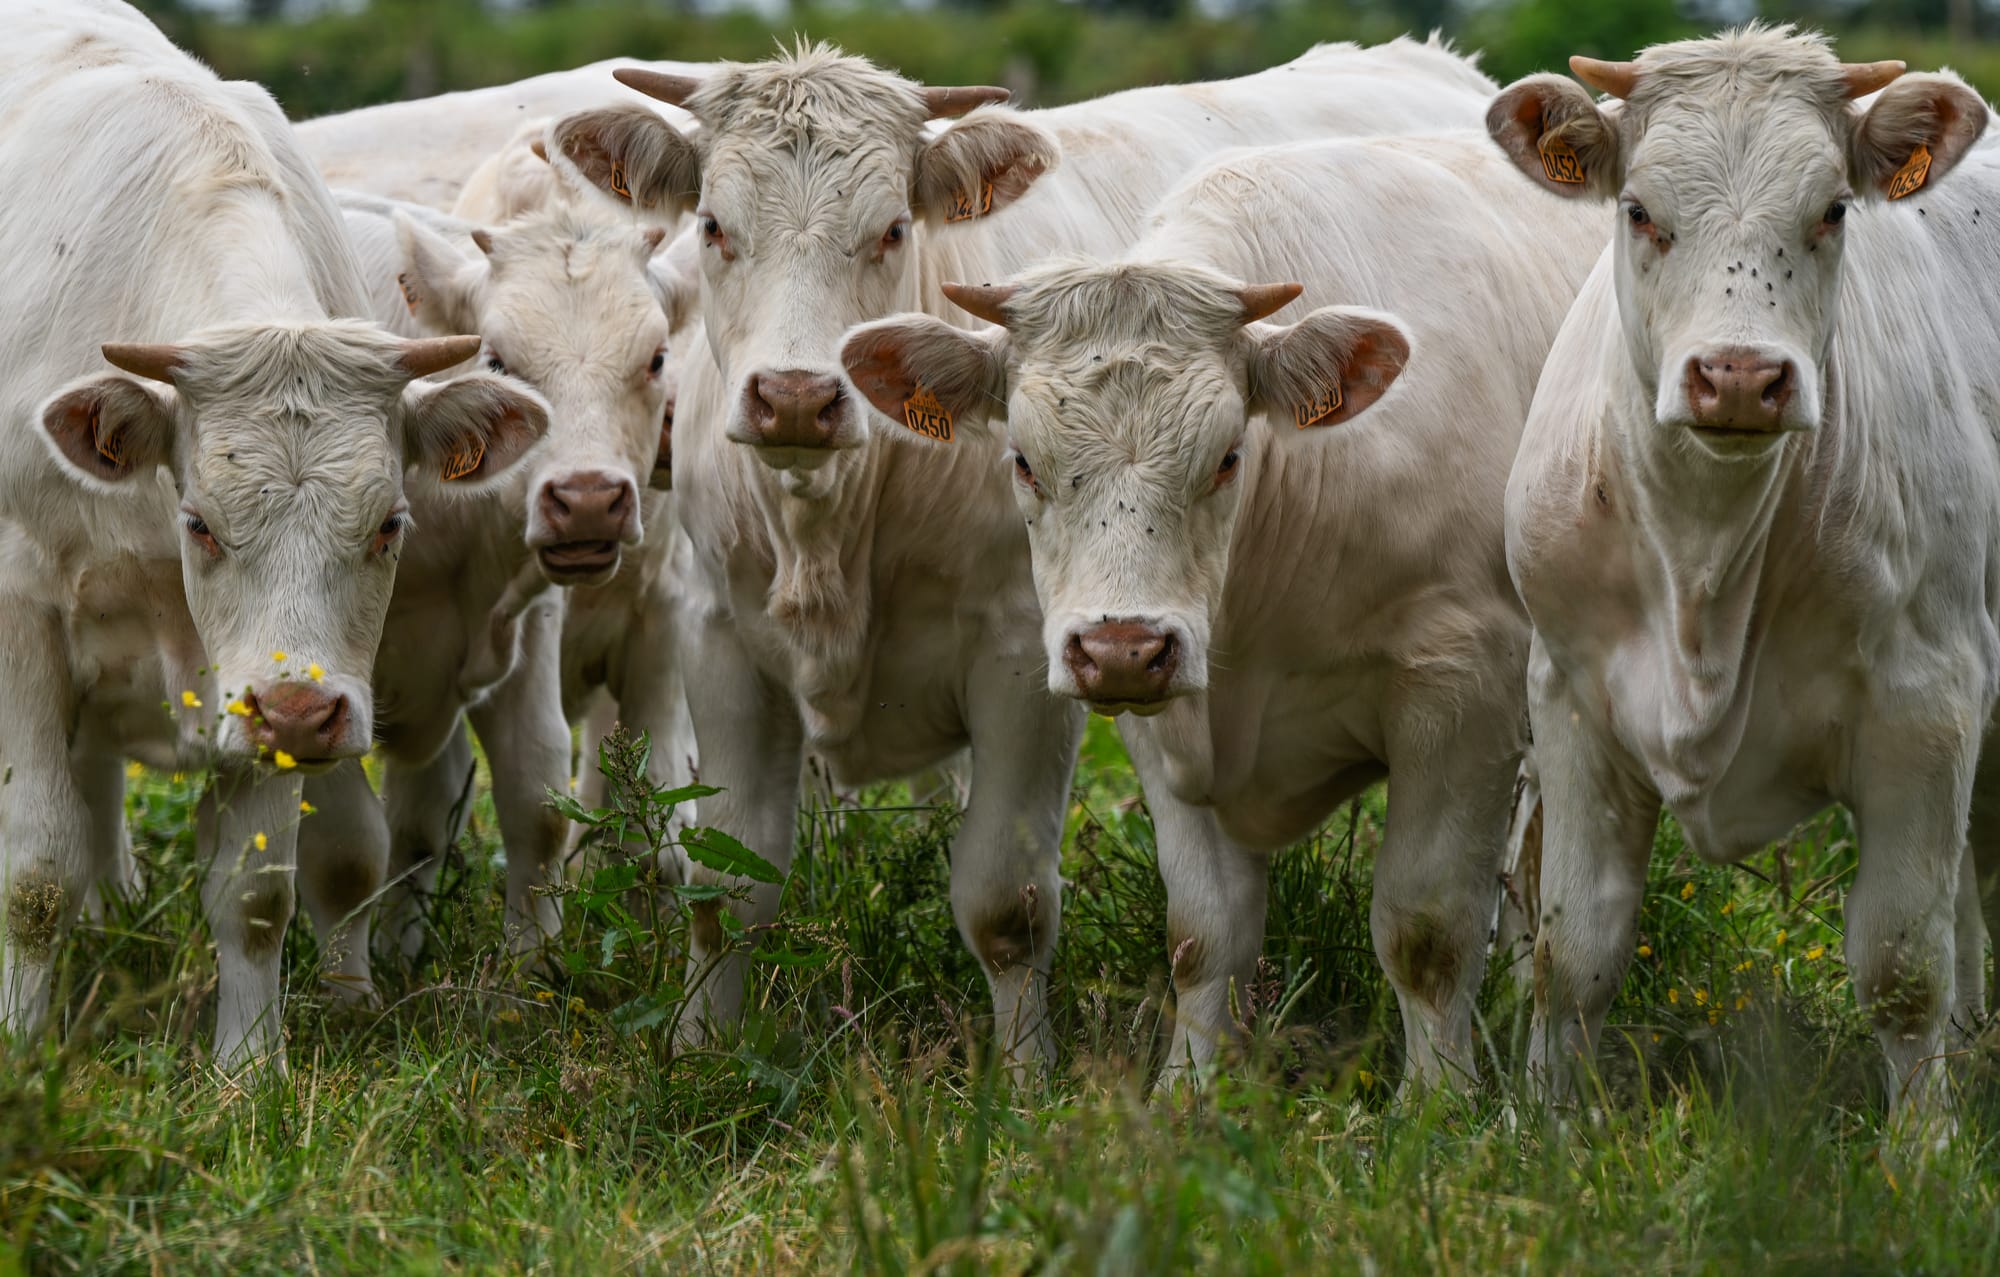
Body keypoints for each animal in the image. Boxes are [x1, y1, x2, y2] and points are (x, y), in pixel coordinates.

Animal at [0, 0, 549, 1075]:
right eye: (201, 523)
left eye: (390, 523)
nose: (302, 712)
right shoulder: (23, 615)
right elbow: (32, 873)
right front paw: (17, 1042)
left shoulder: (247, 682)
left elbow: (254, 898)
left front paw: (248, 1072)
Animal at [542, 39, 1498, 1069]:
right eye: (714, 226)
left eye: (891, 229)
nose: (796, 397)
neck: (834, 522)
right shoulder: (719, 638)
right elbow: (727, 883)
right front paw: (700, 1049)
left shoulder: (1018, 660)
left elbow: (1004, 901)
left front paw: (1023, 1074)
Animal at [837, 134, 1605, 1085]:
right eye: (1021, 460)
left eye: (1230, 455)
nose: (1121, 647)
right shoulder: (1164, 724)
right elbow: (1204, 934)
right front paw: (1186, 1089)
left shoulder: (1462, 692)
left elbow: (1428, 932)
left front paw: (1438, 1100)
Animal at [1484, 26, 1999, 1122]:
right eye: (1638, 209)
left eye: (1832, 208)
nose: (1736, 377)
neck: (1703, 565)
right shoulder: (1570, 703)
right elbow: (1570, 952)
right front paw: (1542, 1125)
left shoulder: (1925, 710)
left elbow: (1903, 965)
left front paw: (1924, 1147)